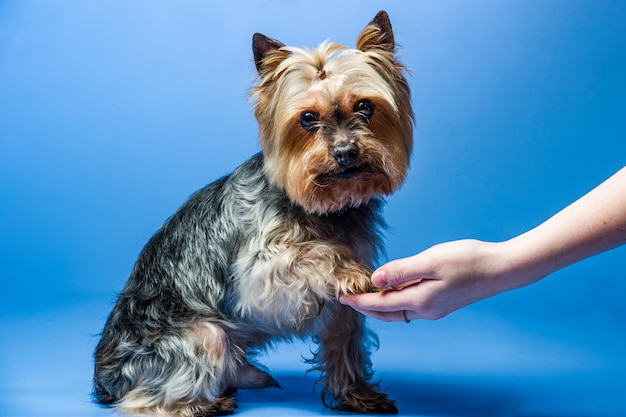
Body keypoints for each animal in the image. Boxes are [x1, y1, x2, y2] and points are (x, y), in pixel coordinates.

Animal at [94, 11, 410, 414]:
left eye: (365, 107)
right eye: (307, 118)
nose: (345, 152)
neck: (324, 208)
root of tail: (103, 378)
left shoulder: (344, 309)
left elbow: (345, 340)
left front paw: (357, 394)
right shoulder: (260, 269)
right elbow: (309, 254)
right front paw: (349, 271)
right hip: (201, 335)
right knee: (141, 399)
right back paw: (201, 404)